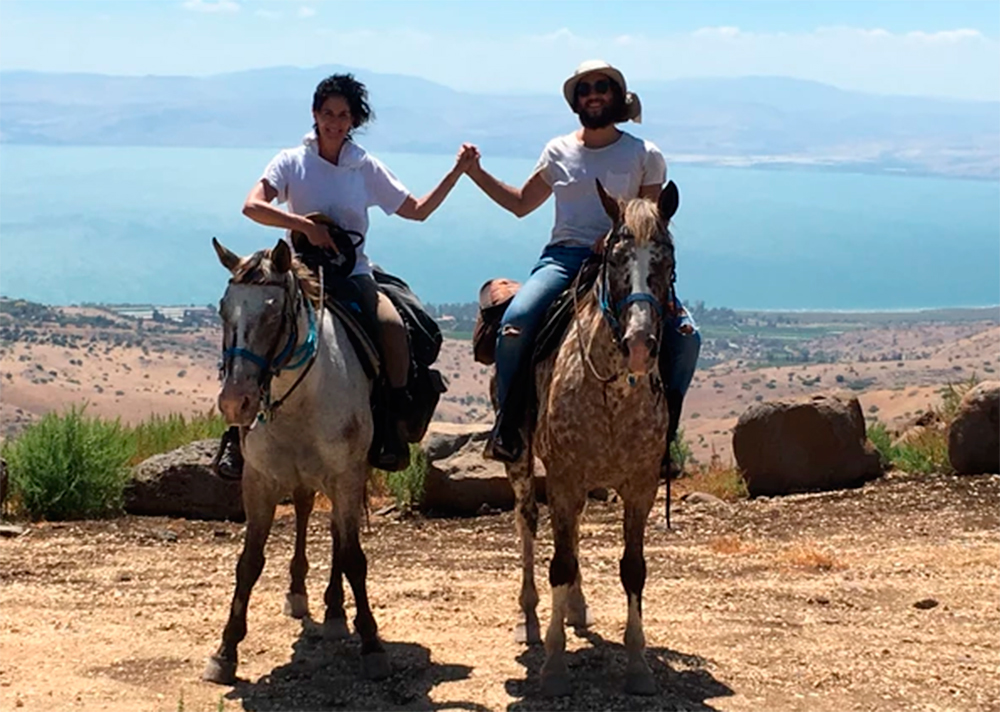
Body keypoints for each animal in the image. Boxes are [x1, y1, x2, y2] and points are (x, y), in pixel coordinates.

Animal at [203, 238, 390, 684]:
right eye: (223, 309)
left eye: (273, 313)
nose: (236, 402)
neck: (300, 399)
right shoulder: (258, 481)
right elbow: (248, 562)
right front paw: (225, 650)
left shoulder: (345, 476)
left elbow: (354, 557)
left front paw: (371, 643)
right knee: (306, 510)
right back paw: (300, 593)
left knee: (339, 535)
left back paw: (337, 612)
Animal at [504, 181, 676, 700]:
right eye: (615, 260)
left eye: (668, 261)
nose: (640, 342)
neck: (614, 393)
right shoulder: (563, 477)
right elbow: (558, 563)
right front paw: (554, 667)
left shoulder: (640, 486)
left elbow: (633, 569)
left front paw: (638, 666)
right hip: (523, 466)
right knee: (528, 523)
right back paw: (529, 616)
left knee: (573, 531)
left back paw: (577, 608)